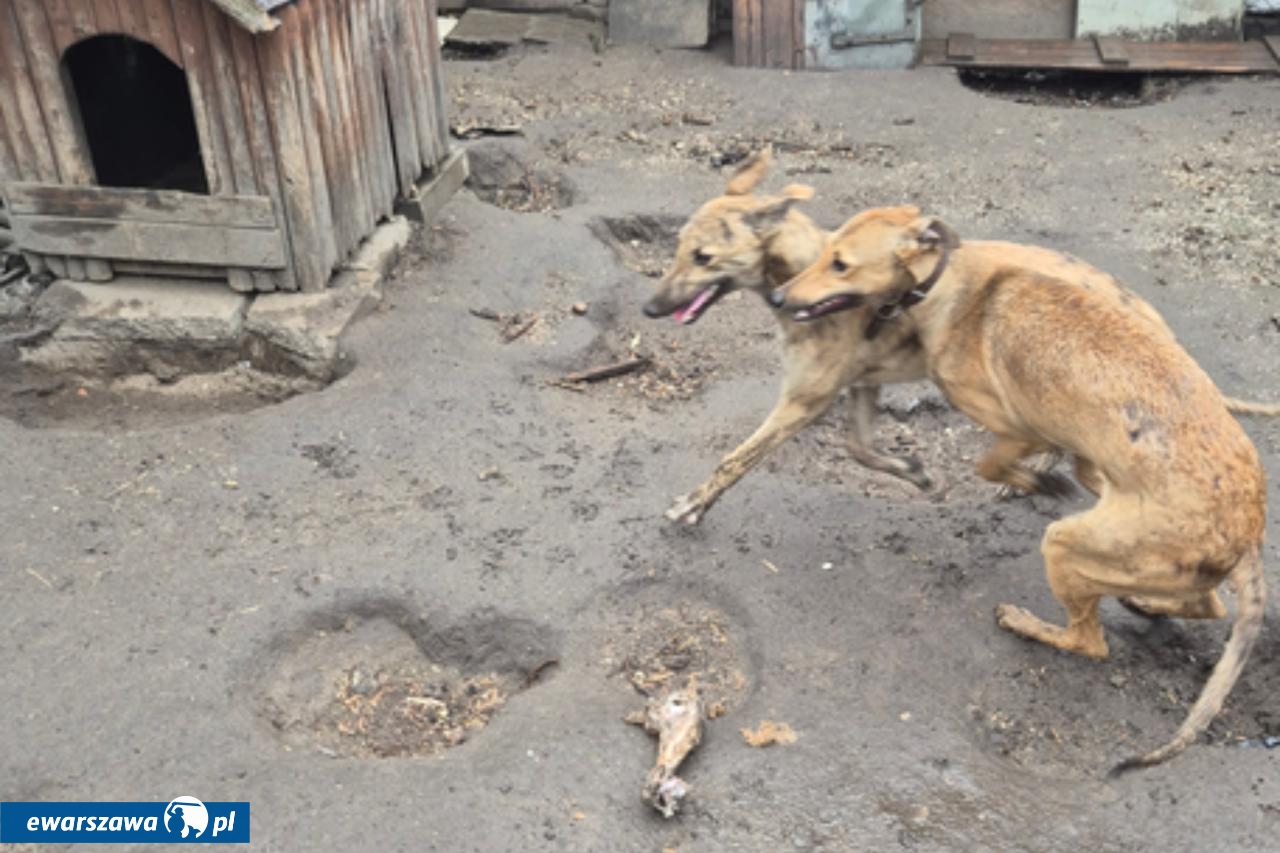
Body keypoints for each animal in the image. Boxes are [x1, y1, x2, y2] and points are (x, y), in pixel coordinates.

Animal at [641, 151, 932, 525]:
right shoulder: (862, 384)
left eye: (703, 257)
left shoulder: (802, 401)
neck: (799, 275)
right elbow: (859, 448)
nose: (649, 309)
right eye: (676, 245)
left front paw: (695, 503)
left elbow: (736, 459)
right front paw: (915, 472)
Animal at [774, 206, 1269, 772]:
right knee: (1207, 604)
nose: (779, 298)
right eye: (825, 252)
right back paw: (1146, 603)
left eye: (840, 263)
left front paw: (1037, 483)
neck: (950, 283)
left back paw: (1024, 620)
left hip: (1065, 543)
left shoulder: (1018, 430)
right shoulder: (1075, 447)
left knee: (1090, 640)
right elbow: (1076, 469)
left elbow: (990, 465)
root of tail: (1249, 531)